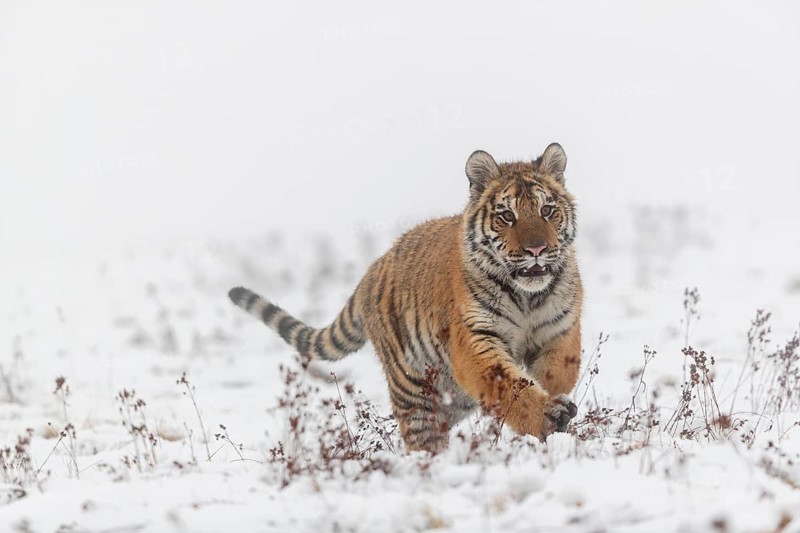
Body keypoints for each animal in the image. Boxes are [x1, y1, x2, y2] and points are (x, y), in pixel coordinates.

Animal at [229, 142, 582, 452]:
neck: (528, 298)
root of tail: (372, 270)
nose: (536, 249)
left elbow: (554, 375)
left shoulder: (559, 332)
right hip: (412, 387)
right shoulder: (476, 338)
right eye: (507, 216)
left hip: (453, 395)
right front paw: (548, 417)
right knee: (422, 438)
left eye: (547, 210)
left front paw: (556, 415)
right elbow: (510, 386)